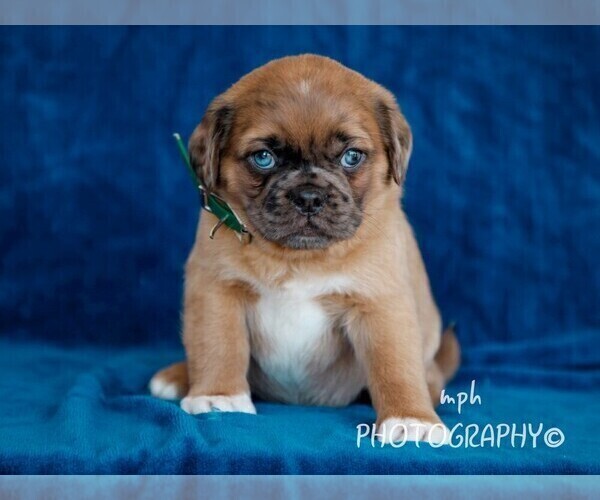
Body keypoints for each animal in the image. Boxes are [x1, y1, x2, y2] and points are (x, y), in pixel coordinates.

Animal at [150, 54, 460, 444]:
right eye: (263, 158)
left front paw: (410, 417)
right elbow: (217, 344)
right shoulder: (216, 292)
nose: (309, 197)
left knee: (427, 372)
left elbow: (395, 363)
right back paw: (178, 376)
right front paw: (218, 396)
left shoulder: (381, 304)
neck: (299, 257)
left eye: (352, 157)